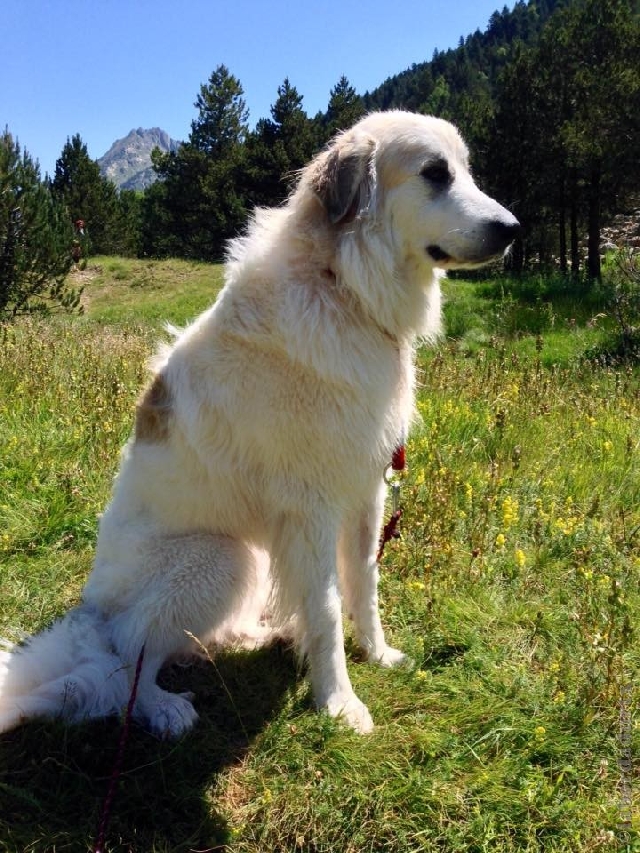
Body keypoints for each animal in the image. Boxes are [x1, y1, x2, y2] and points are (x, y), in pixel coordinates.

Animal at [0, 113, 516, 736]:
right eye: (435, 173)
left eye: (465, 170)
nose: (513, 229)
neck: (340, 285)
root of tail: (89, 615)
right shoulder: (310, 507)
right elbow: (326, 609)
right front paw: (339, 702)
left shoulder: (365, 492)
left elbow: (363, 582)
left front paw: (377, 653)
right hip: (222, 558)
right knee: (127, 658)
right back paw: (163, 706)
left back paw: (255, 636)